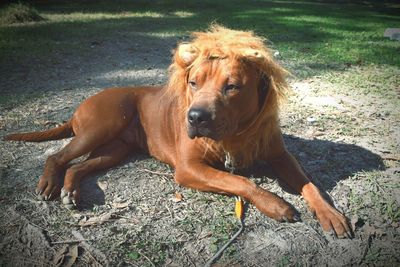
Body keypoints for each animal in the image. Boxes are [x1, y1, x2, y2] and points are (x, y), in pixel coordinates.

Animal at [4, 25, 352, 239]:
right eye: (193, 82)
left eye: (232, 87)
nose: (195, 117)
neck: (236, 135)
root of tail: (83, 103)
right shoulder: (188, 168)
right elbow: (241, 181)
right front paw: (276, 204)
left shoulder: (281, 156)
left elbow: (310, 185)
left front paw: (330, 213)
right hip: (101, 125)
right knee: (57, 156)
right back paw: (49, 184)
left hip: (114, 149)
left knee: (78, 166)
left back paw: (71, 191)